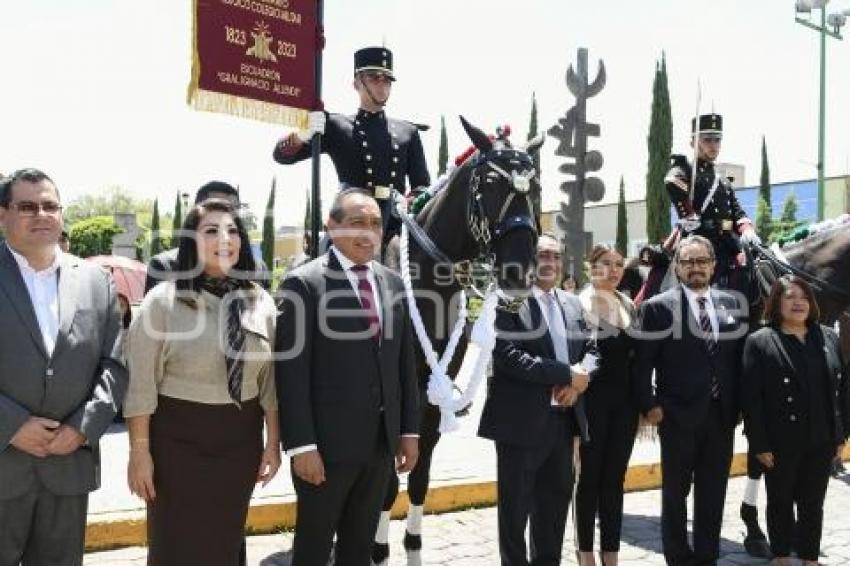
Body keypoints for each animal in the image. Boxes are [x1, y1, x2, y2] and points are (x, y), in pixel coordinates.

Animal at [372, 117, 544, 564]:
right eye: (489, 184)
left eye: (535, 188)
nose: (519, 272)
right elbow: (386, 479)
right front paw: (377, 546)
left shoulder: (433, 393)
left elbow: (420, 473)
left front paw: (412, 543)